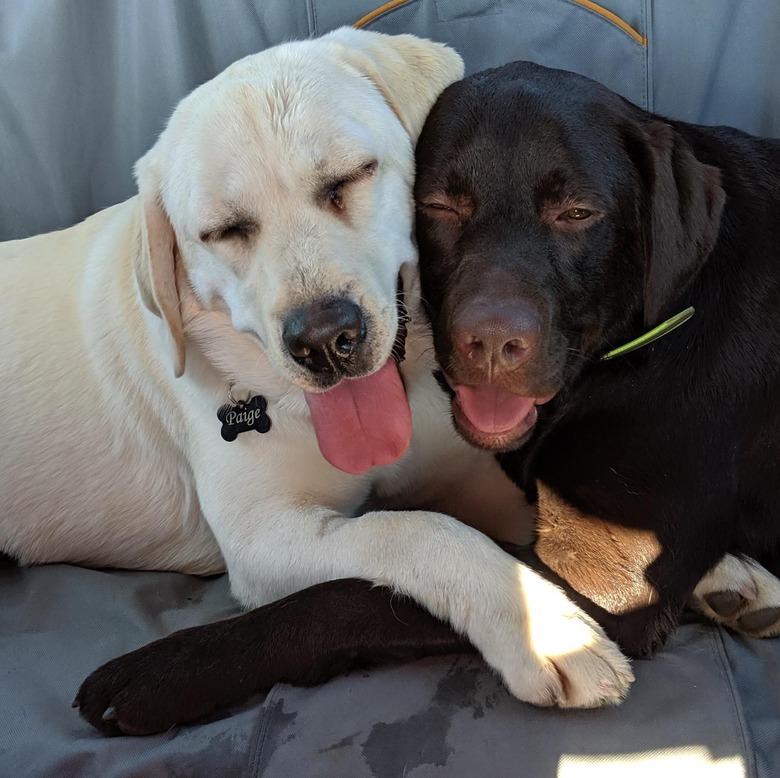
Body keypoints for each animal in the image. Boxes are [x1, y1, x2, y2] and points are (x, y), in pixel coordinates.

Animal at [0, 27, 768, 708]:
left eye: (350, 177)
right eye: (222, 233)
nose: (324, 339)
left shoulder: (472, 476)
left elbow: (528, 526)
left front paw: (723, 575)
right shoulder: (266, 538)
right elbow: (415, 531)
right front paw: (548, 633)